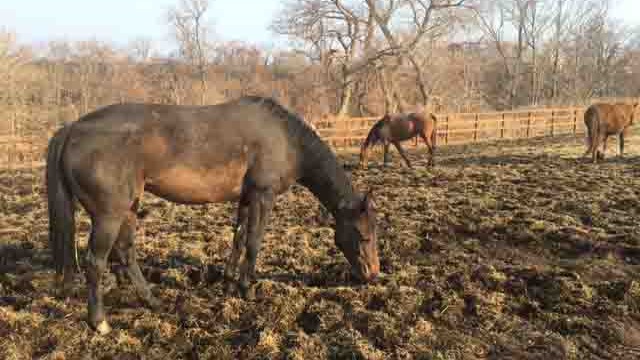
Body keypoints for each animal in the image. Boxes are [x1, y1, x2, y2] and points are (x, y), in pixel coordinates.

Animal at [46, 96, 380, 334]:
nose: (374, 274)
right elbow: (254, 242)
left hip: (129, 209)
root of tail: (72, 129)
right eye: (363, 235)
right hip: (109, 215)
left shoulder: (246, 198)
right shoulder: (263, 196)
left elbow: (238, 239)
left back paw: (152, 301)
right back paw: (100, 323)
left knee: (126, 254)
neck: (286, 139)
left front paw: (229, 284)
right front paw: (247, 290)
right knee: (95, 262)